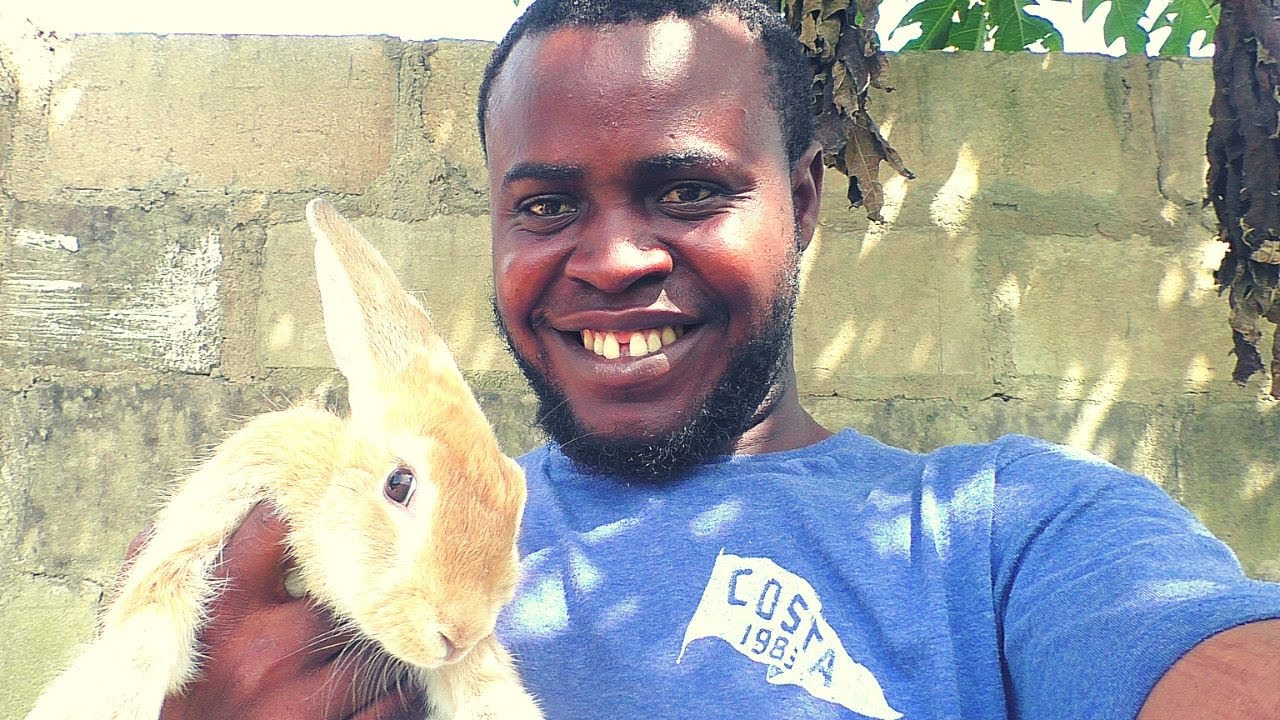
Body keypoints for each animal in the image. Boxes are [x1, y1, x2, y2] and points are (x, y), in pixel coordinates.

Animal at [25, 198, 543, 720]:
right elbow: (151, 608)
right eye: (399, 483)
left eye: (518, 495)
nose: (460, 633)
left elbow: (481, 683)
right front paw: (106, 700)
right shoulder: (214, 503)